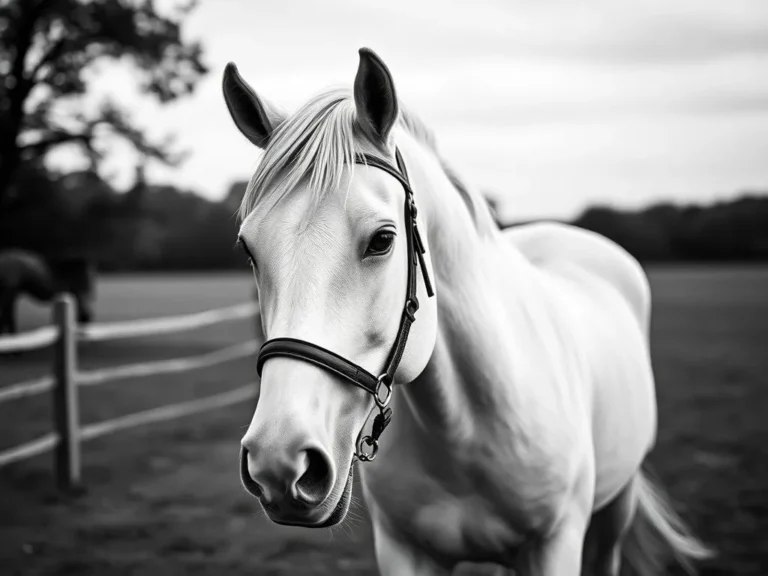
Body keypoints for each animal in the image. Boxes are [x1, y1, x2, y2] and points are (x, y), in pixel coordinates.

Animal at [220, 49, 708, 576]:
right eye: (248, 249)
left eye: (383, 240)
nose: (279, 460)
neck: (465, 427)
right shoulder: (403, 551)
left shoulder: (556, 544)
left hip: (616, 506)